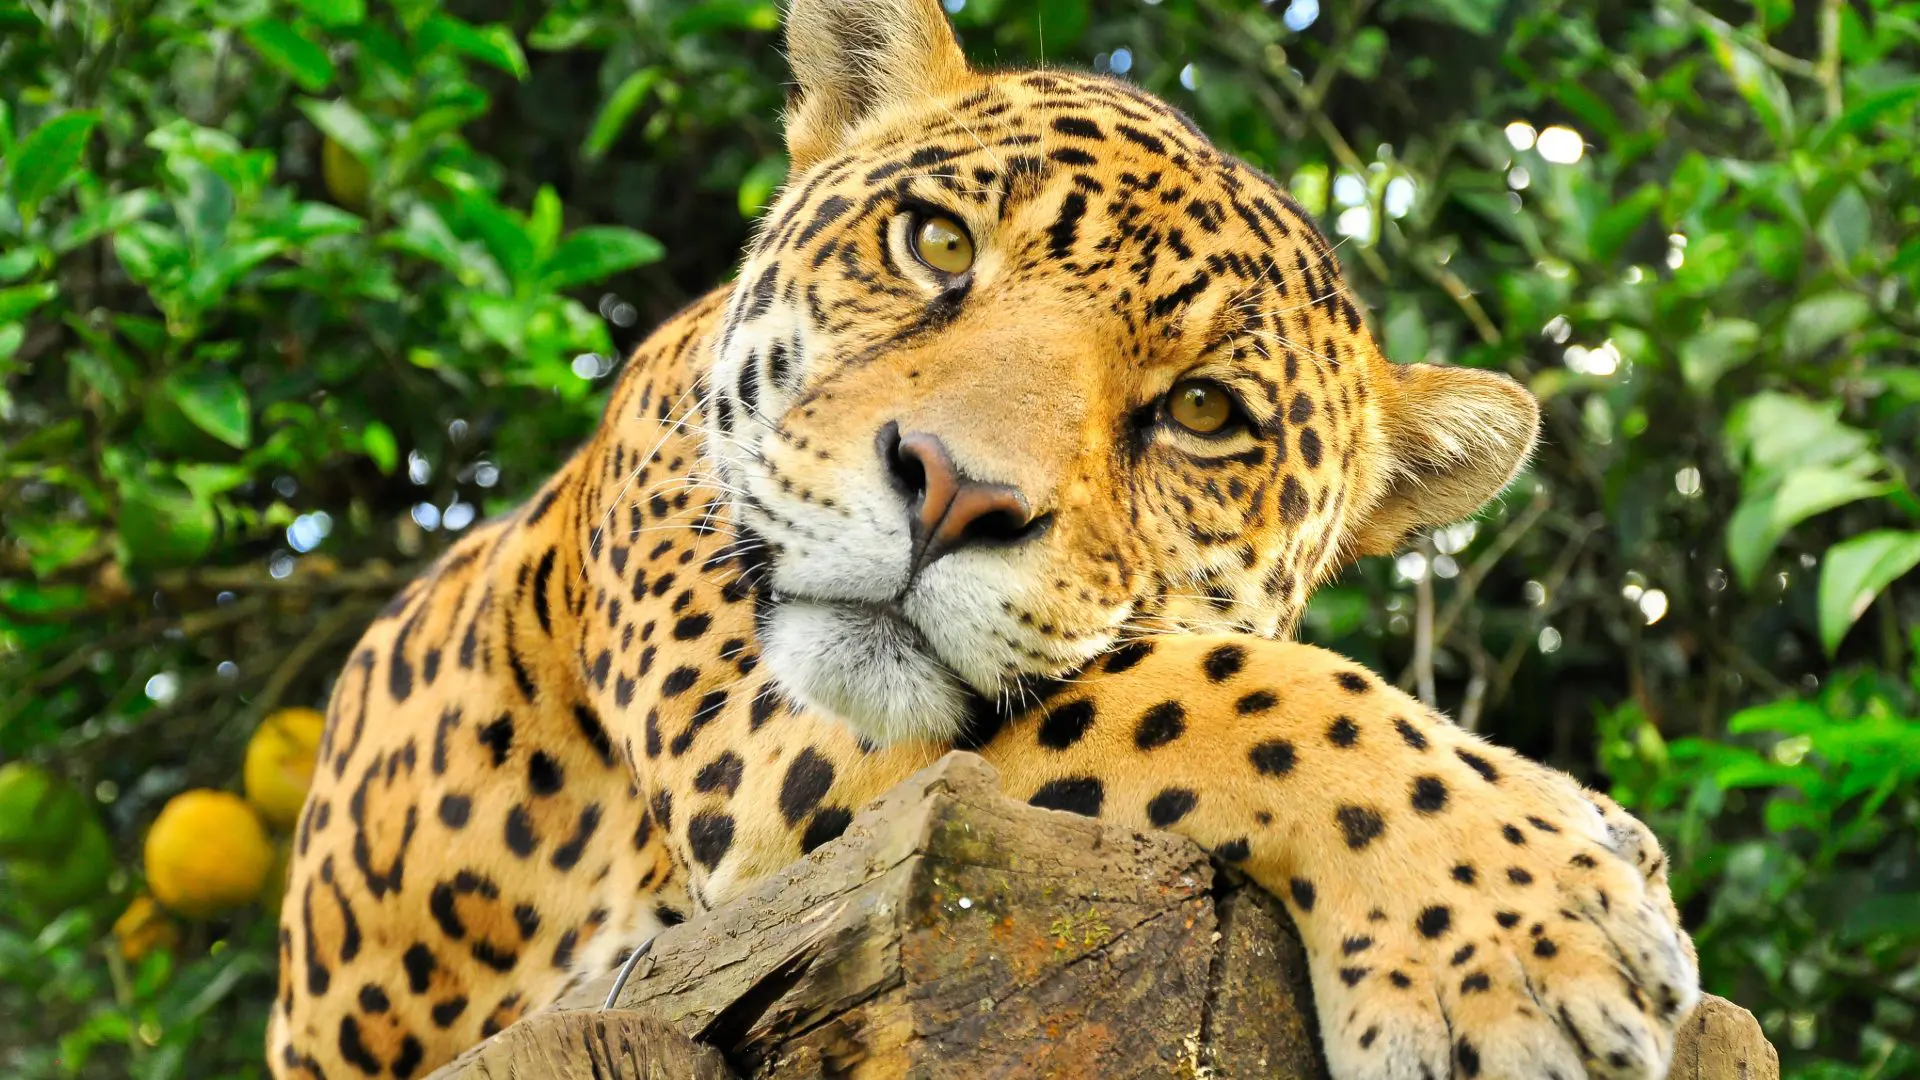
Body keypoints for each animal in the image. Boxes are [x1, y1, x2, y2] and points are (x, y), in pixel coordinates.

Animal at [269, 2, 1700, 1077]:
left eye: (1202, 412)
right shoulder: (757, 745)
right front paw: (1528, 926)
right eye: (936, 241)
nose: (954, 493)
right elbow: (1217, 693)